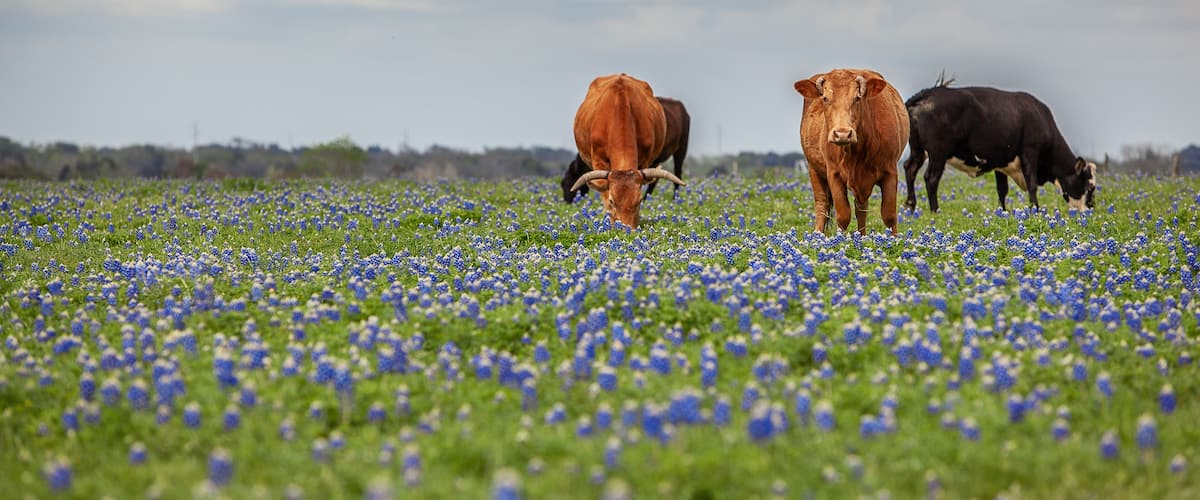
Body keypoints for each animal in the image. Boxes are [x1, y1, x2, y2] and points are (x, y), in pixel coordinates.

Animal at [794, 68, 909, 235]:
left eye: (857, 98)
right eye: (825, 98)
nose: (842, 134)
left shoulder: (890, 172)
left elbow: (889, 215)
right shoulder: (833, 174)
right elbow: (843, 215)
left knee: (861, 209)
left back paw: (862, 236)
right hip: (813, 169)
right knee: (822, 205)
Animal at [902, 77, 1097, 212]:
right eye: (1090, 186)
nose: (1091, 209)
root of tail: (925, 94)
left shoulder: (1000, 162)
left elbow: (1002, 190)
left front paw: (1003, 212)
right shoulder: (1030, 151)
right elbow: (1032, 184)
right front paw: (1035, 209)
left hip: (918, 150)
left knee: (909, 168)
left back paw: (910, 206)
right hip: (938, 153)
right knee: (931, 178)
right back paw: (935, 211)